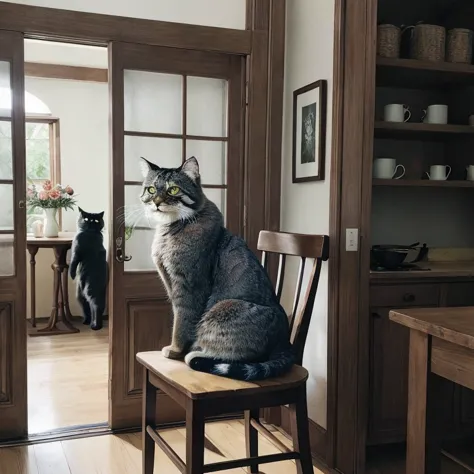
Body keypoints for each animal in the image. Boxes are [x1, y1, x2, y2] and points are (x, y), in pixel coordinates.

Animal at [139, 156, 294, 382]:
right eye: (151, 189)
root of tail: (286, 341)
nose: (157, 202)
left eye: (173, 189)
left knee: (241, 354)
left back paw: (195, 354)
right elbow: (179, 319)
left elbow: (182, 321)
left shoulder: (188, 285)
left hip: (225, 306)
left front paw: (175, 350)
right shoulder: (171, 284)